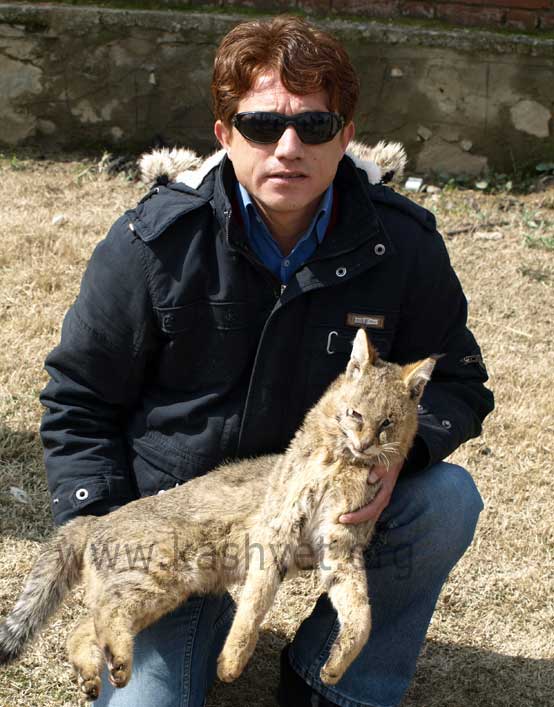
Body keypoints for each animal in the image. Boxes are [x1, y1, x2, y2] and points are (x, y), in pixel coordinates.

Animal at [0, 330, 432, 700]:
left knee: (81, 629)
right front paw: (232, 660)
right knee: (105, 612)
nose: (365, 444)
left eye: (387, 423)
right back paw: (117, 662)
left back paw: (97, 672)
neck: (343, 464)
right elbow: (253, 608)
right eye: (354, 414)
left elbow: (362, 617)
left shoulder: (339, 549)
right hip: (155, 578)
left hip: (159, 595)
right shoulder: (276, 534)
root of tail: (97, 520)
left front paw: (337, 665)